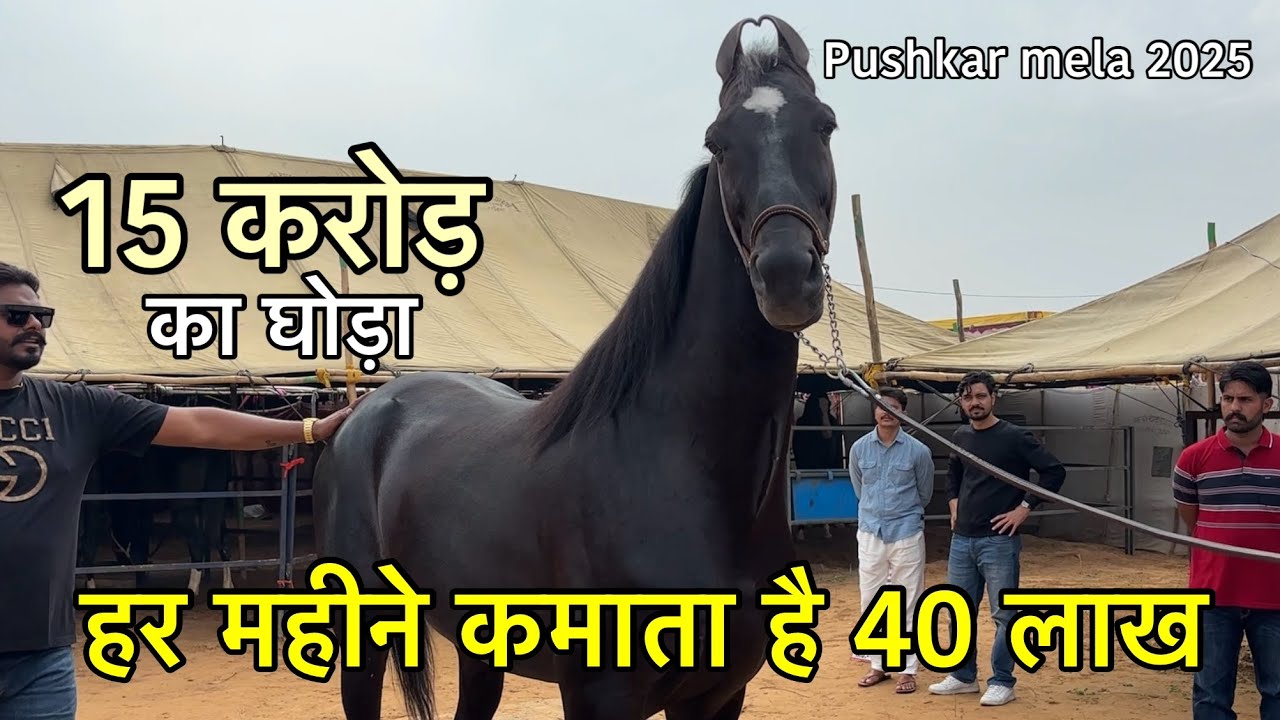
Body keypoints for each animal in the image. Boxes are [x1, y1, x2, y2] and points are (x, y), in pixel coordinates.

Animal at [312, 15, 839, 720]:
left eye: (825, 125)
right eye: (718, 142)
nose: (784, 276)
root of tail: (359, 416)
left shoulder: (720, 695)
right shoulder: (599, 697)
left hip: (479, 650)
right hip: (363, 634)